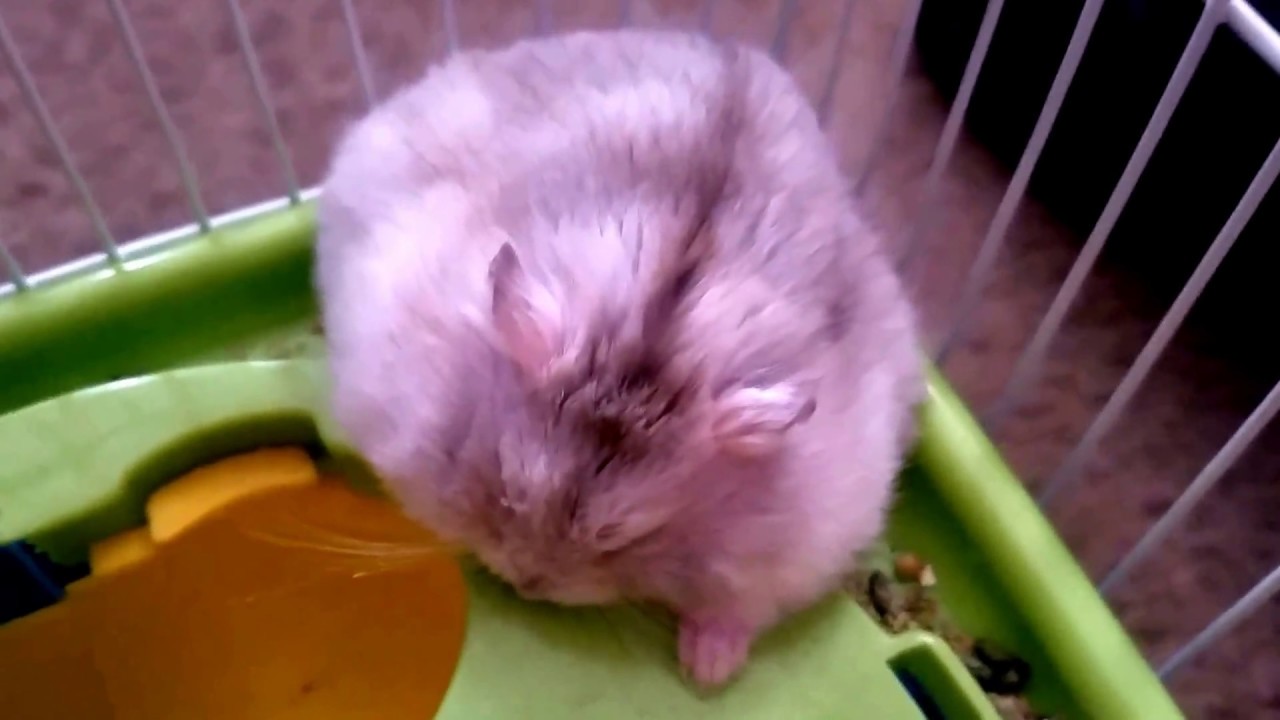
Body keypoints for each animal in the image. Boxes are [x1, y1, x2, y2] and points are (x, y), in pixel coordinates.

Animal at [315, 29, 923, 688]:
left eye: (617, 535)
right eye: (509, 485)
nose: (527, 585)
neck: (652, 334)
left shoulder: (803, 539)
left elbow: (738, 606)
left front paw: (706, 671)